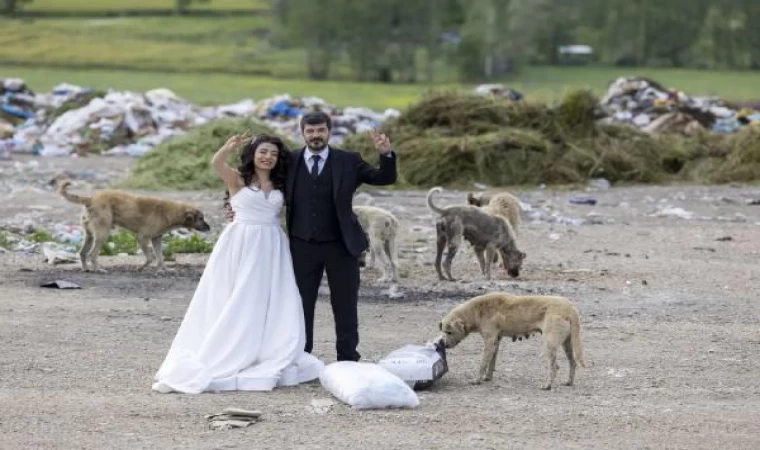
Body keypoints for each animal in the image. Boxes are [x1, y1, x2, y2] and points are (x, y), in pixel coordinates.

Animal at [56, 178, 211, 270]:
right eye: (201, 218)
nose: (209, 228)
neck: (169, 212)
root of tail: (91, 198)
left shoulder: (156, 239)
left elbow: (160, 256)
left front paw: (165, 269)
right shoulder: (142, 237)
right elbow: (150, 257)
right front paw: (142, 268)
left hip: (89, 234)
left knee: (82, 253)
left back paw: (86, 269)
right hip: (102, 234)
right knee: (92, 254)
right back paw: (98, 269)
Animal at [436, 294, 584, 388]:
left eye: (449, 332)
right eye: (443, 331)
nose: (445, 345)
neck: (476, 311)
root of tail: (570, 307)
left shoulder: (489, 341)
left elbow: (482, 364)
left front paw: (477, 380)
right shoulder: (496, 341)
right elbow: (491, 362)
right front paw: (487, 378)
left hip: (550, 343)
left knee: (555, 366)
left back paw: (547, 385)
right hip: (567, 344)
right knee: (572, 362)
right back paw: (569, 382)